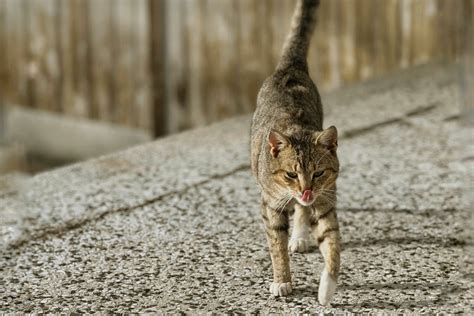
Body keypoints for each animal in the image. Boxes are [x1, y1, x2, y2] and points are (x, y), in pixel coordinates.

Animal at [250, 0, 338, 306]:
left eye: (319, 173)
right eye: (290, 174)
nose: (306, 190)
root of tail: (290, 67)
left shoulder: (326, 199)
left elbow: (332, 243)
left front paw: (327, 286)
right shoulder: (271, 206)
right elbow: (276, 246)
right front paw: (282, 281)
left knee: (301, 212)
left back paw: (299, 234)